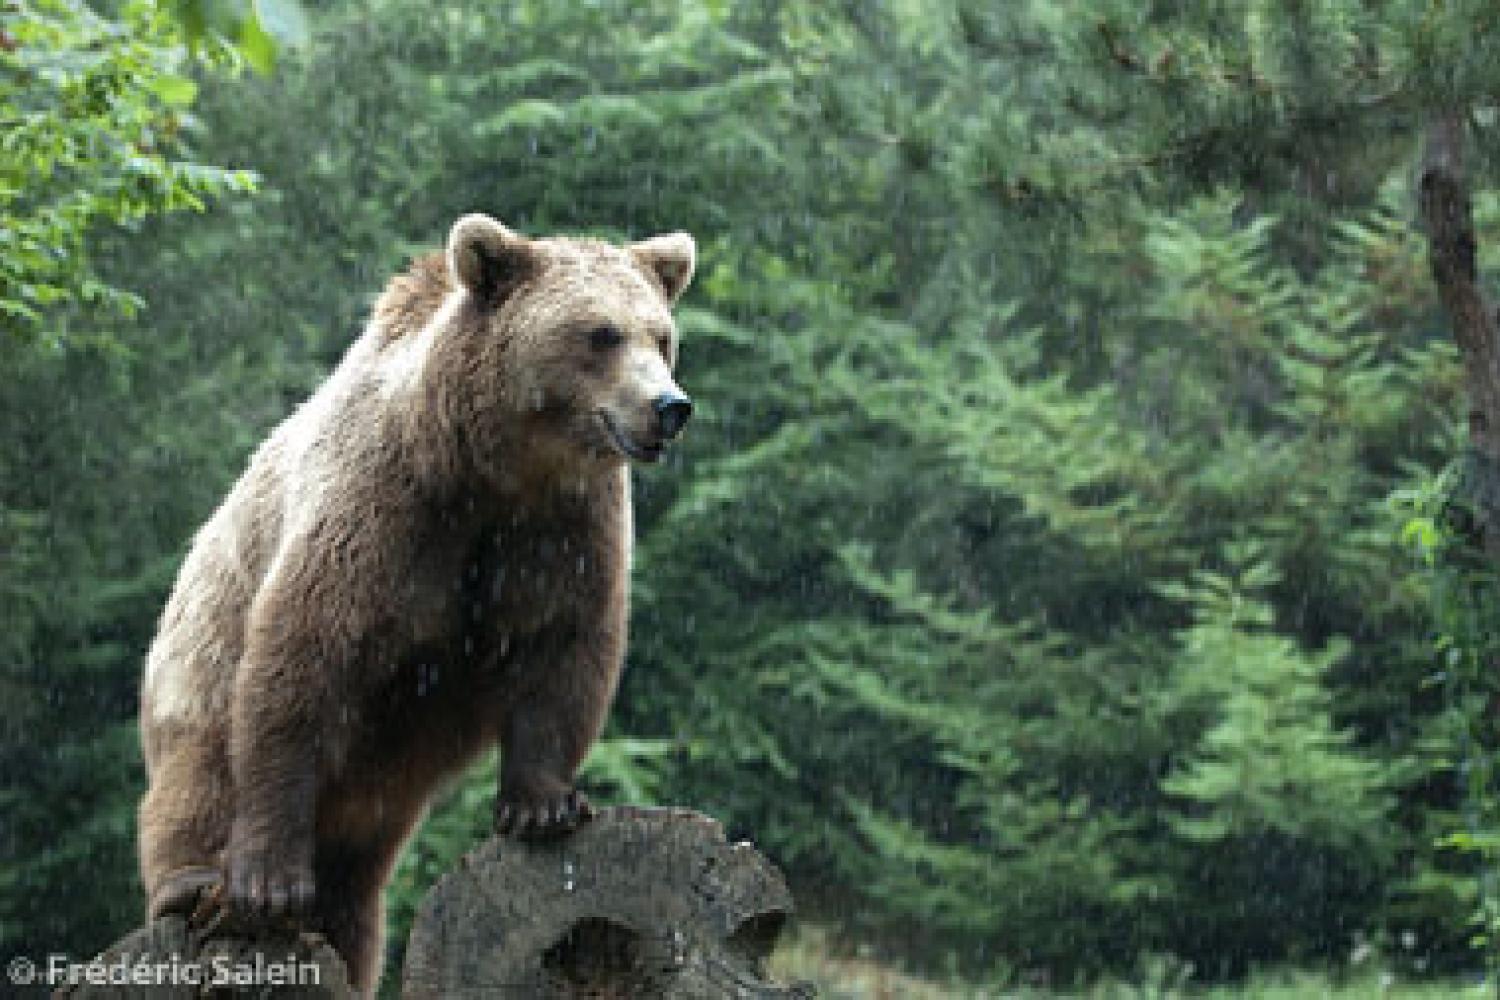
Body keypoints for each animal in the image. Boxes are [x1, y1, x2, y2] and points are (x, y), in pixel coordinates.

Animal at [135, 215, 696, 995]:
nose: (668, 407)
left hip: (375, 801)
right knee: (199, 773)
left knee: (354, 903)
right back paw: (191, 885)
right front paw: (269, 881)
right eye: (601, 334)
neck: (492, 469)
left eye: (662, 335)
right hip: (197, 663)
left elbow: (565, 651)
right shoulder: (384, 511)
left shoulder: (563, 532)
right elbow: (301, 660)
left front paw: (543, 804)